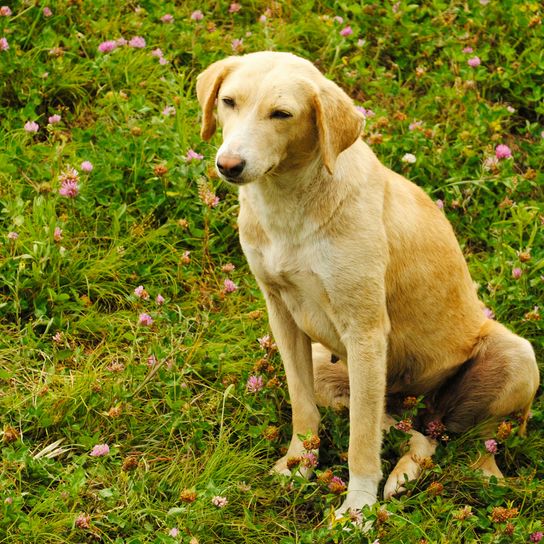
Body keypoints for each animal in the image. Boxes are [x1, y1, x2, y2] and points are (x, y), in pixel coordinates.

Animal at [196, 53, 540, 520]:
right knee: (417, 435)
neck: (290, 201)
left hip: (516, 359)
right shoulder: (282, 315)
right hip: (339, 372)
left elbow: (360, 442)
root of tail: (425, 407)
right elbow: (303, 409)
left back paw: (474, 479)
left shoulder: (365, 331)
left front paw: (356, 511)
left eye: (281, 114)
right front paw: (299, 466)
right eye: (229, 102)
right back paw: (406, 471)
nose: (228, 165)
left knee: (480, 445)